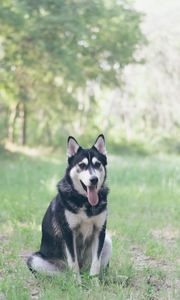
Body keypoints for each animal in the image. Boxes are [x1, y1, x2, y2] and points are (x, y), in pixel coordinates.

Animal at [27, 135, 111, 280]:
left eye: (97, 164)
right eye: (82, 165)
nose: (94, 179)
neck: (85, 202)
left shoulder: (100, 231)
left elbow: (96, 263)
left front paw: (95, 283)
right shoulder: (68, 232)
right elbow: (73, 261)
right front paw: (77, 283)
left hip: (107, 242)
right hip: (34, 260)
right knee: (64, 272)